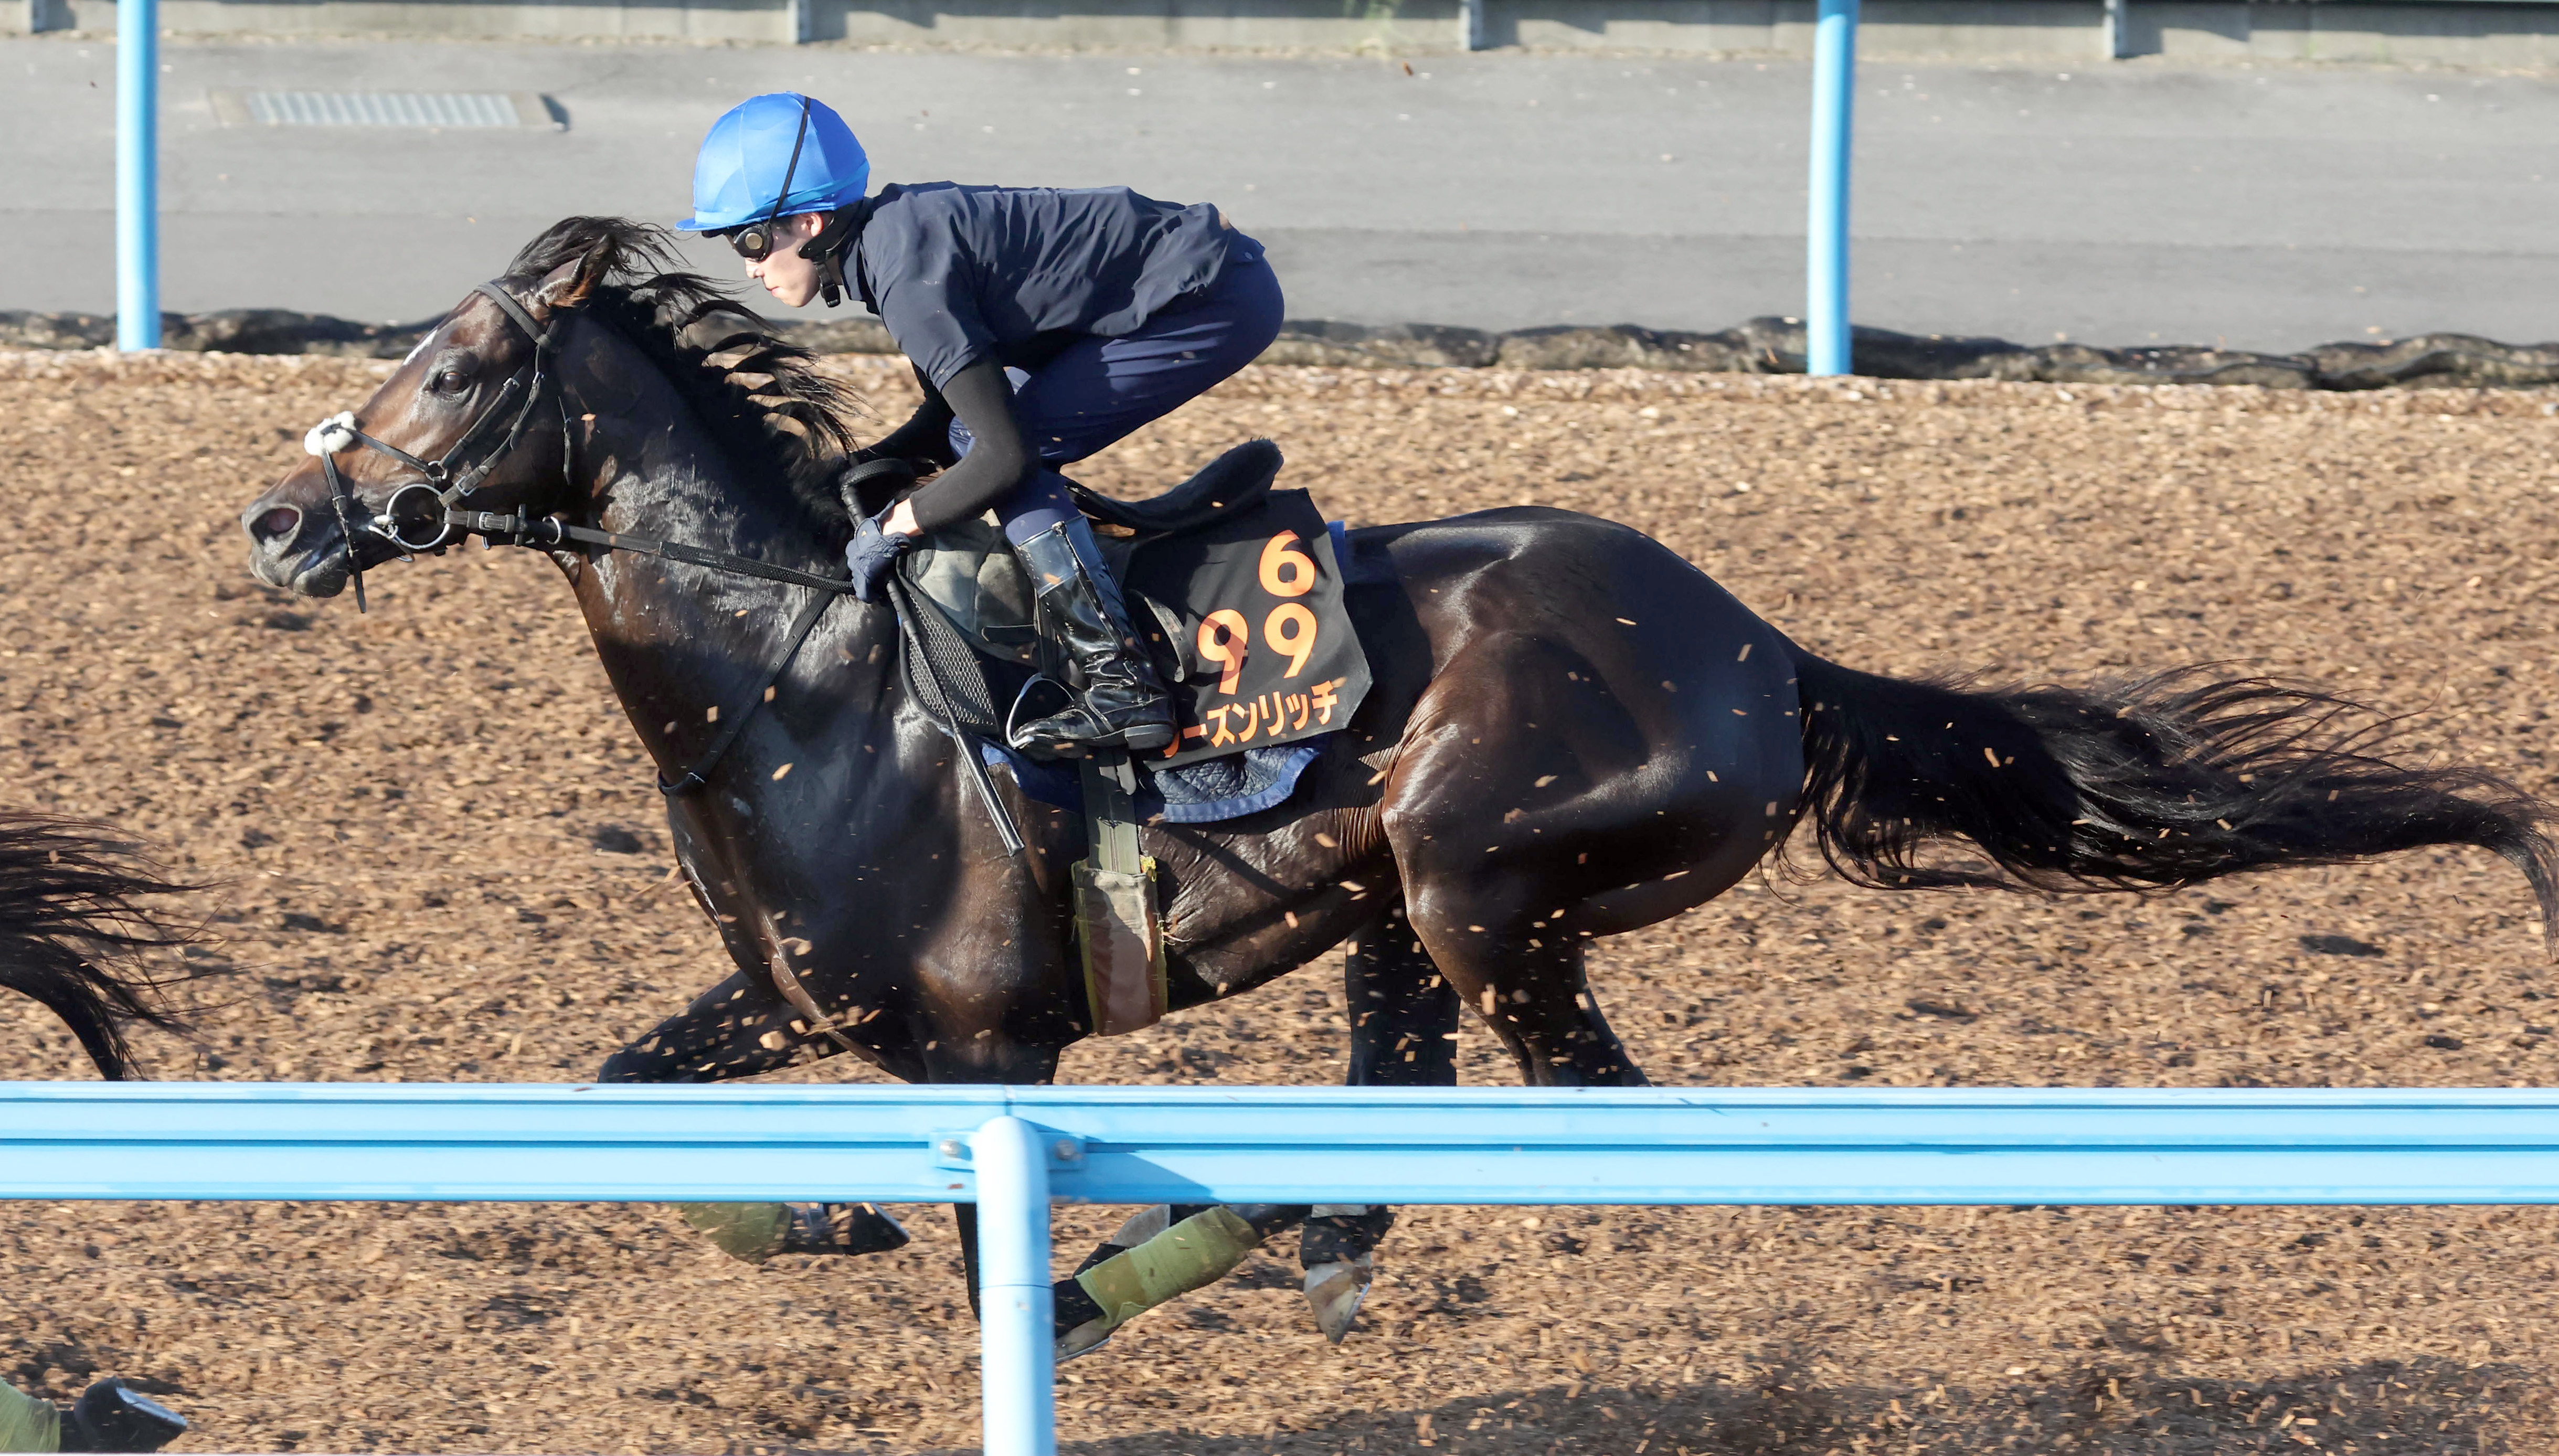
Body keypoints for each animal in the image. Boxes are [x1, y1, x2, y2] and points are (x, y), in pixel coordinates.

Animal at [230, 218, 2549, 1351]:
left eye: (454, 365)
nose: (276, 520)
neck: (802, 677)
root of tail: (1763, 650)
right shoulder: (799, 1005)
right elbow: (621, 1099)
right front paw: (810, 1210)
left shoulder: (976, 1047)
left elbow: (988, 1237)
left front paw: (1016, 1270)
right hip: (1397, 916)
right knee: (1398, 1121)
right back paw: (1265, 1239)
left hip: (1475, 876)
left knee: (1571, 1122)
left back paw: (1203, 1246)